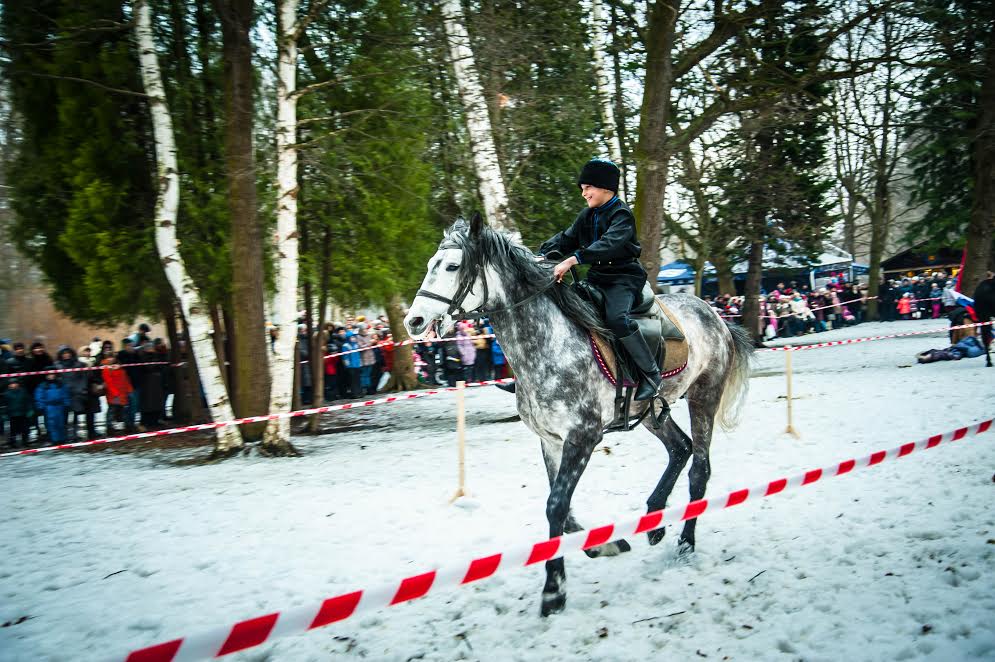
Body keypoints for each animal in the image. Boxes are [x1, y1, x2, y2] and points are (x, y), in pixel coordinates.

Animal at [400, 217, 752, 616]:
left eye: (452, 266)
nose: (414, 320)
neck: (547, 344)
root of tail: (715, 315)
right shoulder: (551, 440)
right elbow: (562, 508)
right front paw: (605, 545)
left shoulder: (583, 437)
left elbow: (556, 506)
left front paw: (554, 591)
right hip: (651, 412)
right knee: (680, 448)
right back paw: (654, 522)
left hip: (704, 397)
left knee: (699, 469)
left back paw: (685, 544)